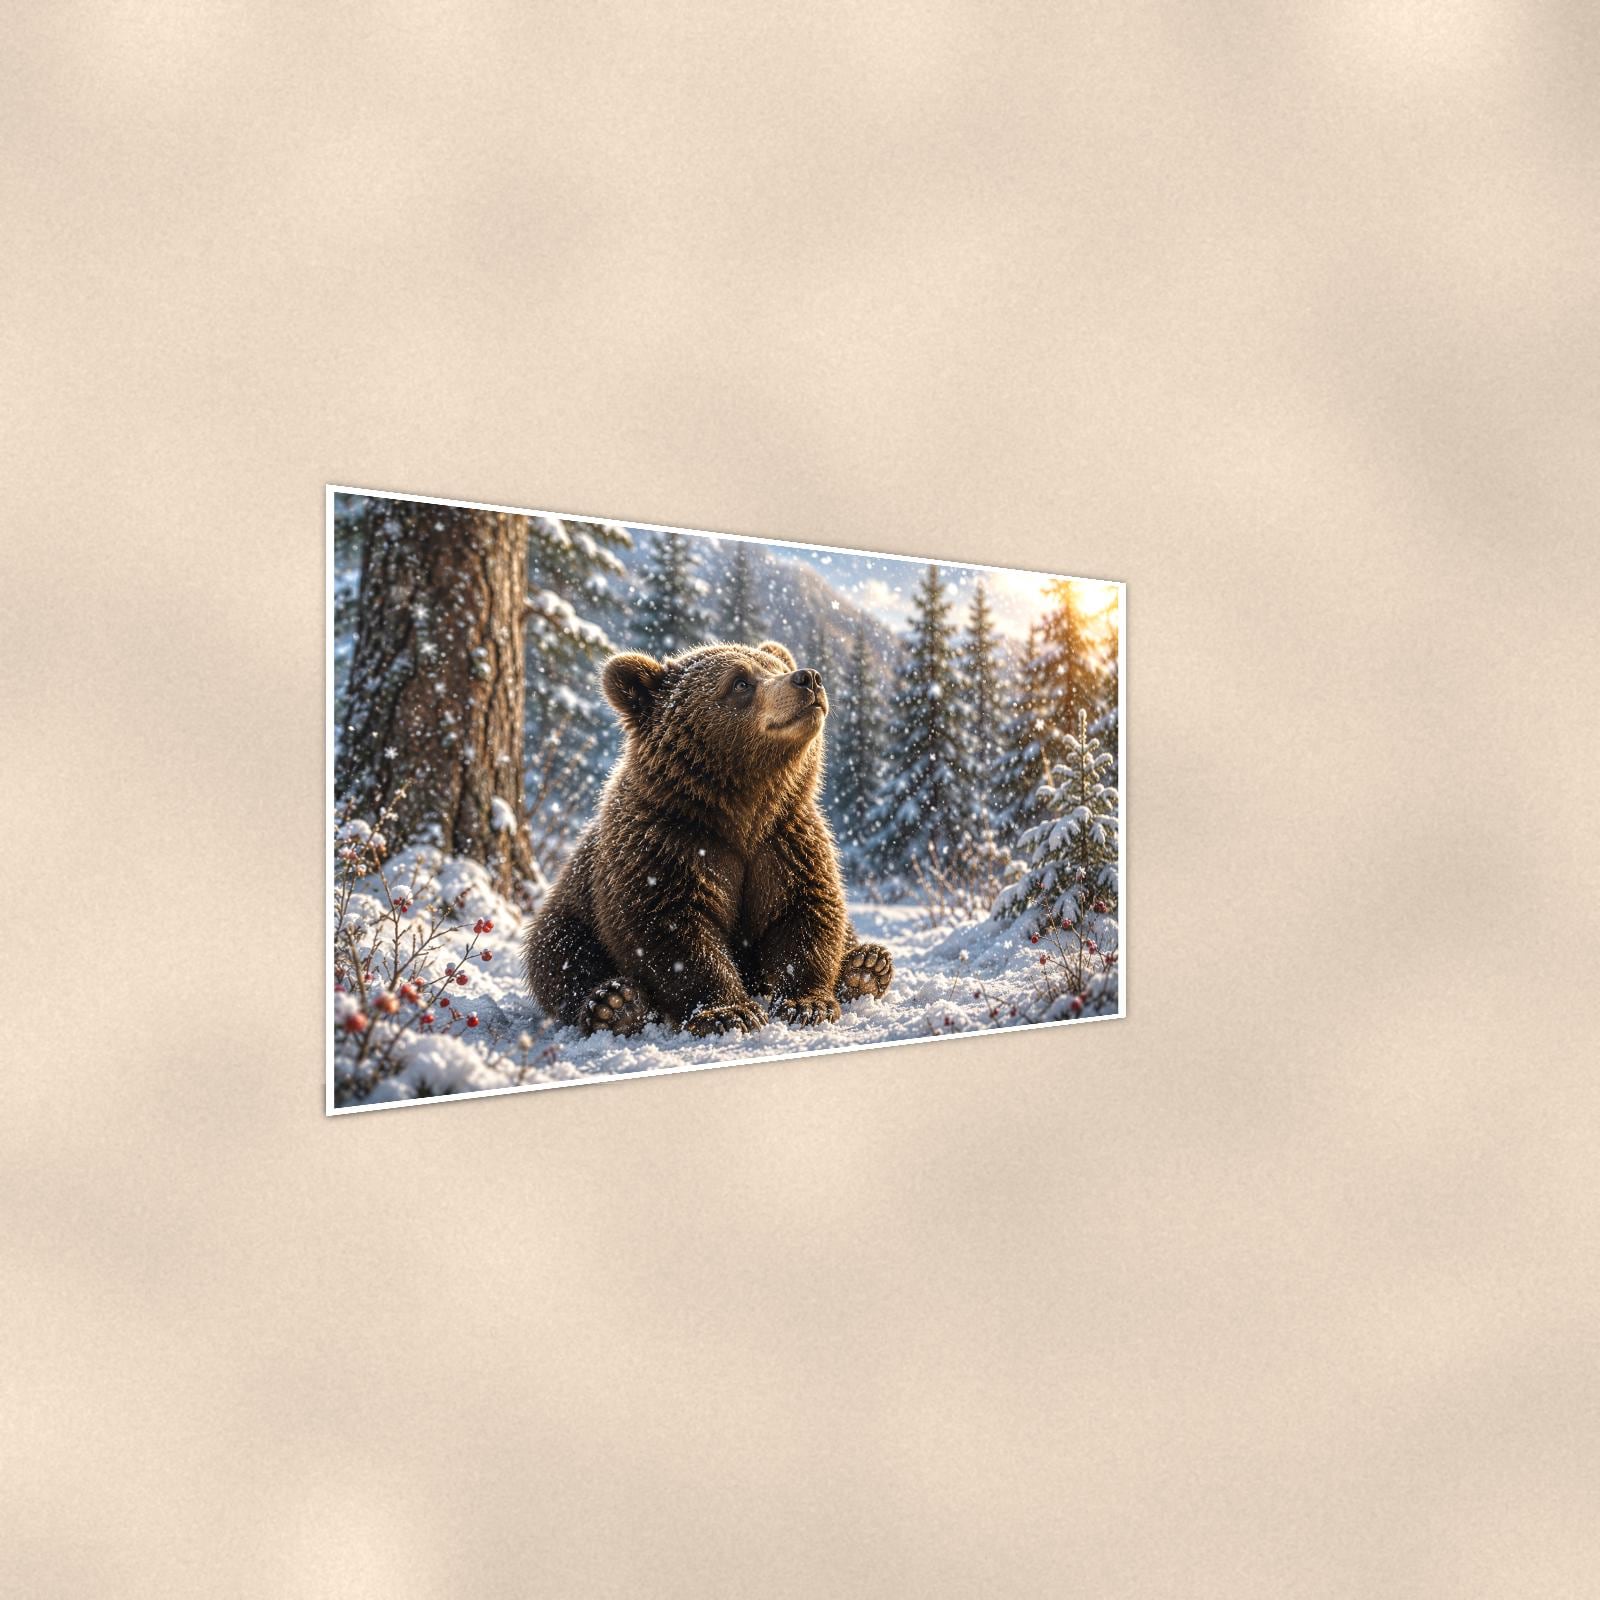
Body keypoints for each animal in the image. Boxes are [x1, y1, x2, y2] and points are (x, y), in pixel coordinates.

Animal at [522, 639, 894, 1038]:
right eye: (740, 682)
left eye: (775, 665)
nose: (808, 677)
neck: (741, 810)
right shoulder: (668, 844)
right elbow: (674, 928)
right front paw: (729, 1011)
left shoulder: (786, 840)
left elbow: (805, 912)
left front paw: (807, 1003)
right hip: (573, 907)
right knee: (561, 955)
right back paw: (616, 1005)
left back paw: (866, 966)